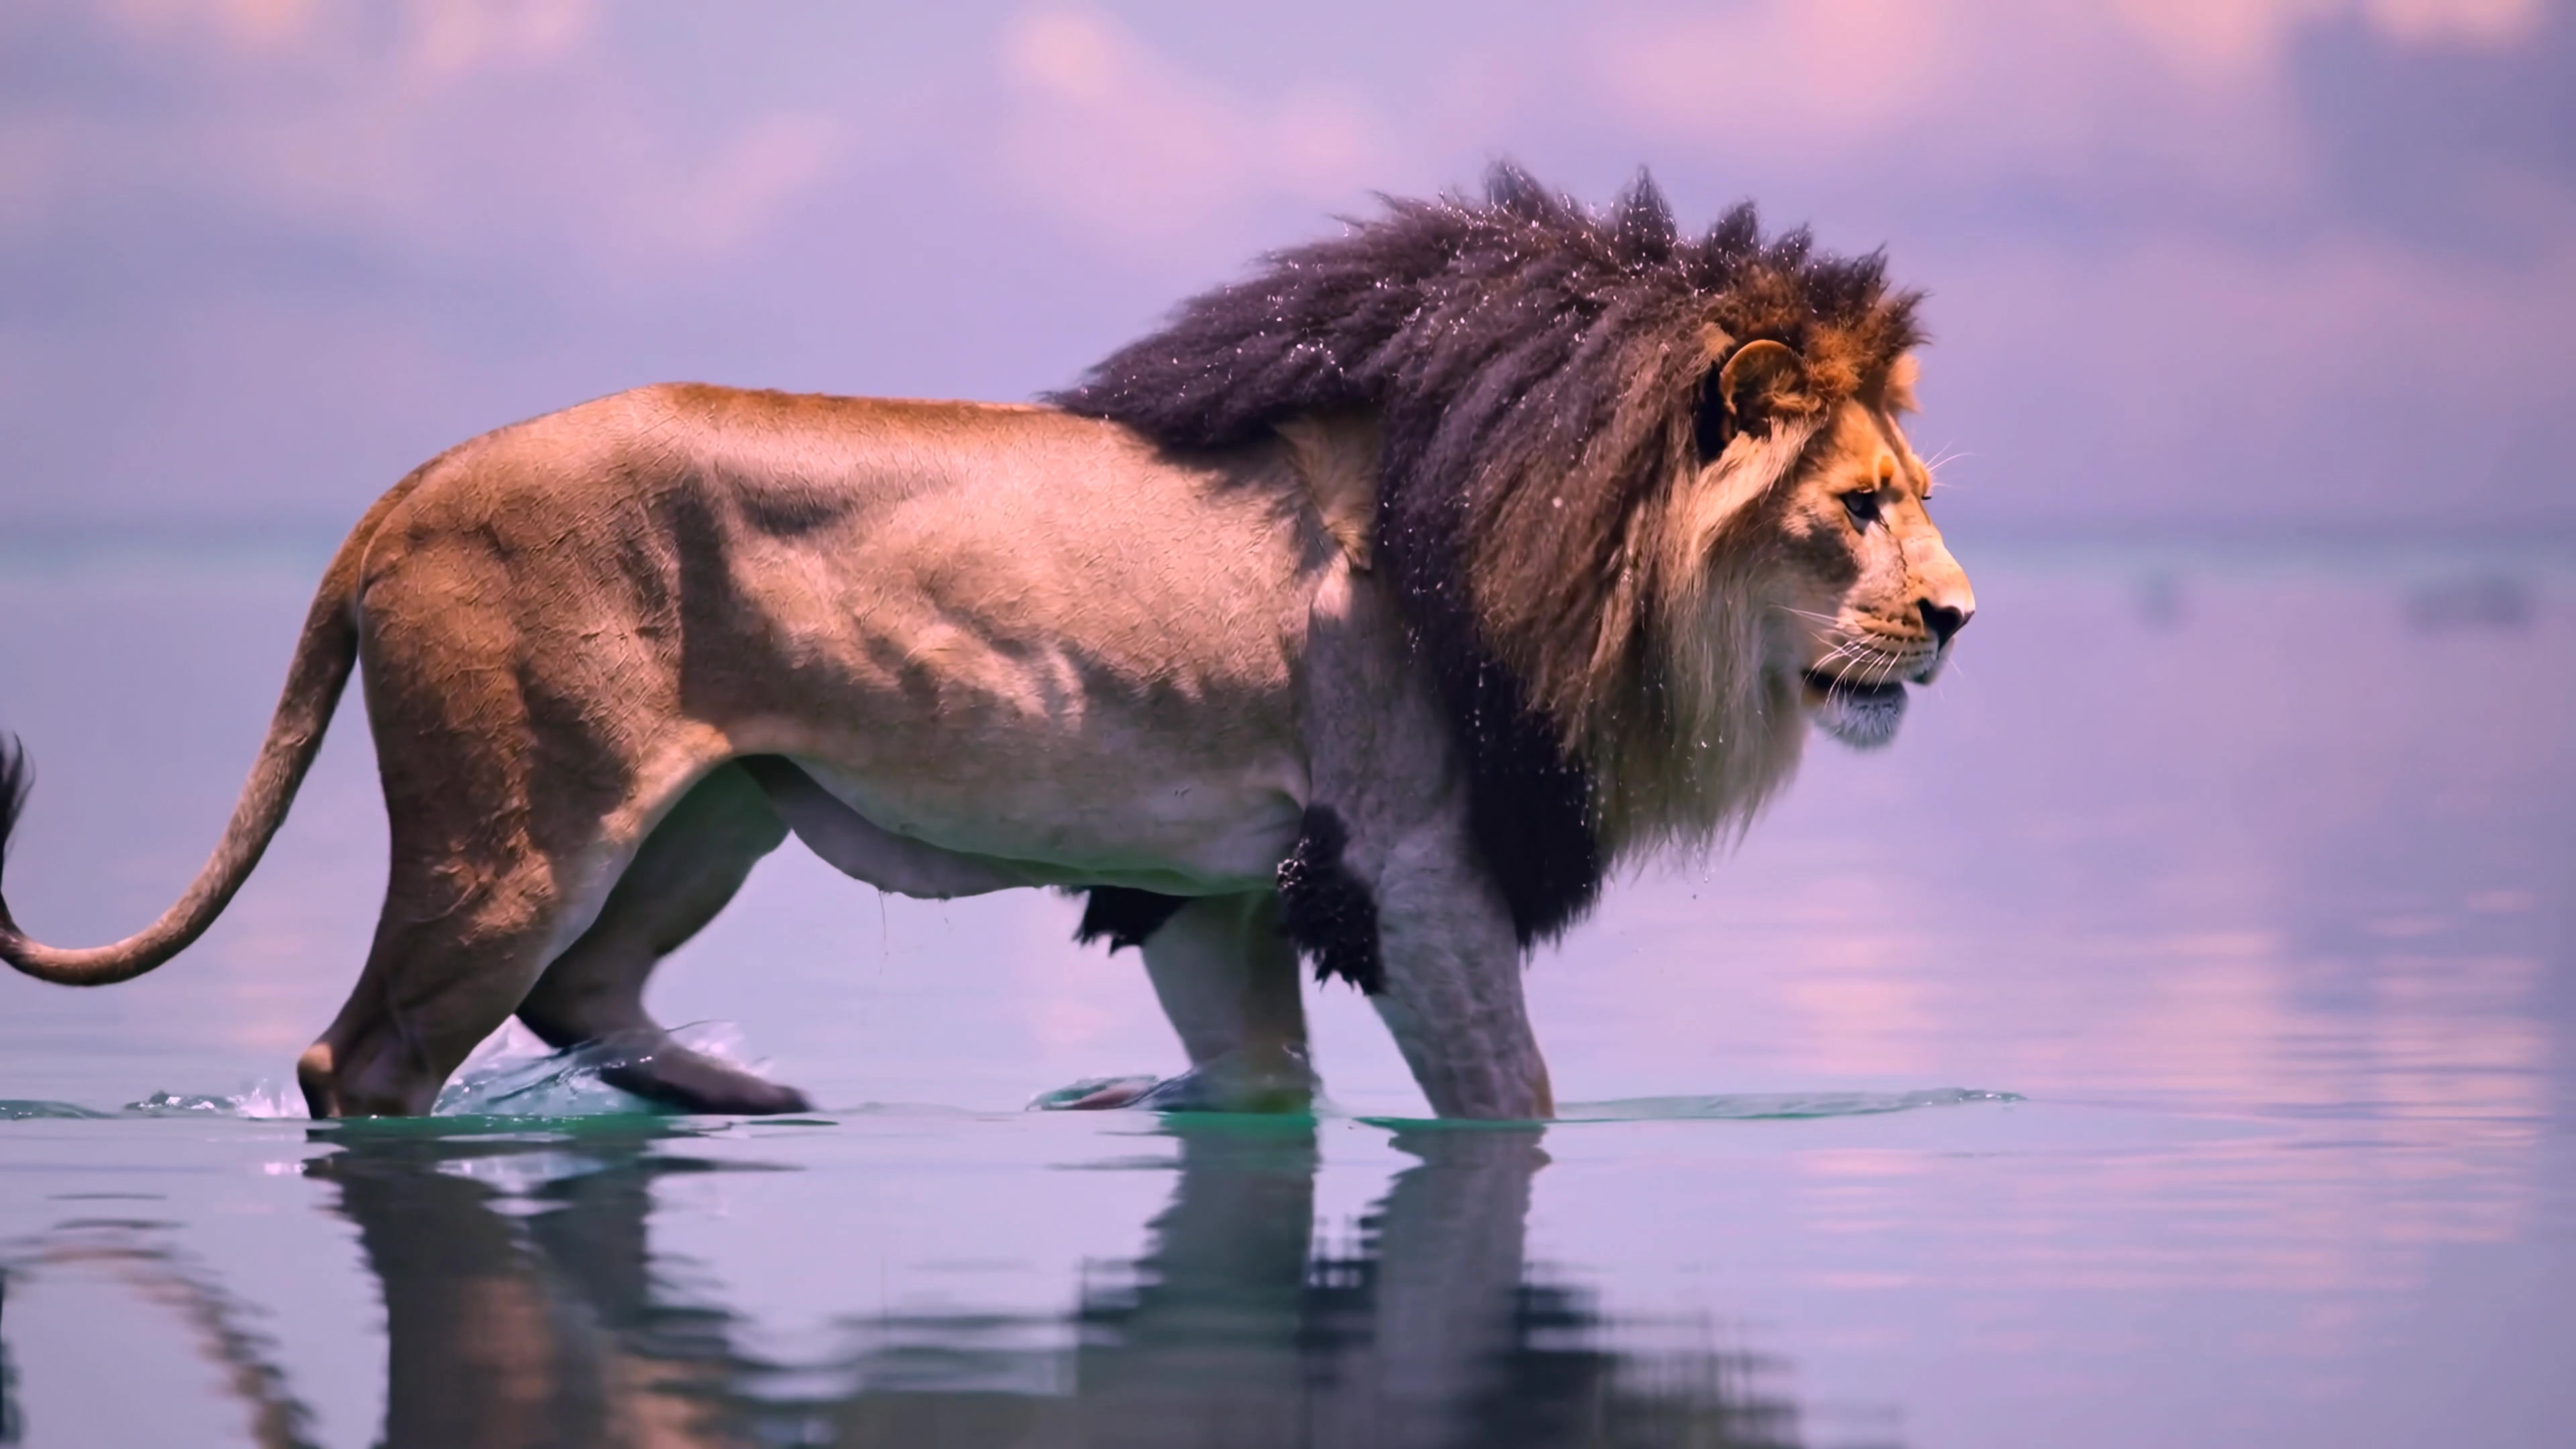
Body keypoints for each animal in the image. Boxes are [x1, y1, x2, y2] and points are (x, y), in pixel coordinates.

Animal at [0, 166, 1972, 1120]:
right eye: (1858, 504)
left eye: (1918, 493)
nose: (1957, 618)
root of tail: (409, 484)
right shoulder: (1410, 867)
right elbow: (1512, 1105)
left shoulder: (1220, 887)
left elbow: (1258, 1085)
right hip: (522, 835)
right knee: (366, 1062)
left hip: (708, 817)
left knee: (584, 995)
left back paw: (756, 1098)